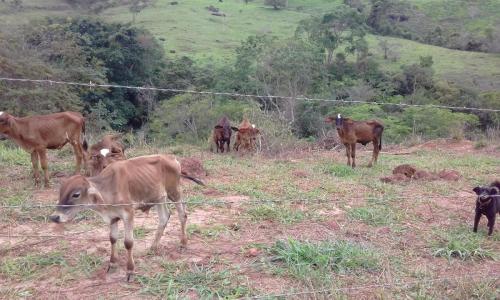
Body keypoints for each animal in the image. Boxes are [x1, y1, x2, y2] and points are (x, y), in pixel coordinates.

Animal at [49, 155, 206, 282]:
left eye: (75, 194)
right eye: (60, 192)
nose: (55, 217)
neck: (108, 188)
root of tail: (172, 158)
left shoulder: (128, 213)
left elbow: (128, 243)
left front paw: (130, 270)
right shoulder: (112, 217)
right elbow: (112, 239)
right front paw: (112, 263)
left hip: (174, 192)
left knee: (182, 215)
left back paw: (183, 243)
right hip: (159, 197)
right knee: (164, 218)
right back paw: (153, 247)